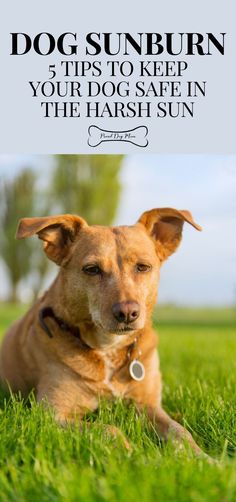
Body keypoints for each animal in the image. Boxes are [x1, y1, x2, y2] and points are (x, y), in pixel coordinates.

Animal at [0, 208, 207, 458]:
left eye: (143, 267)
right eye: (92, 269)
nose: (128, 313)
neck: (108, 349)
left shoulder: (148, 405)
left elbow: (180, 431)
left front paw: (203, 458)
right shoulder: (51, 415)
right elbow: (109, 429)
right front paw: (135, 455)